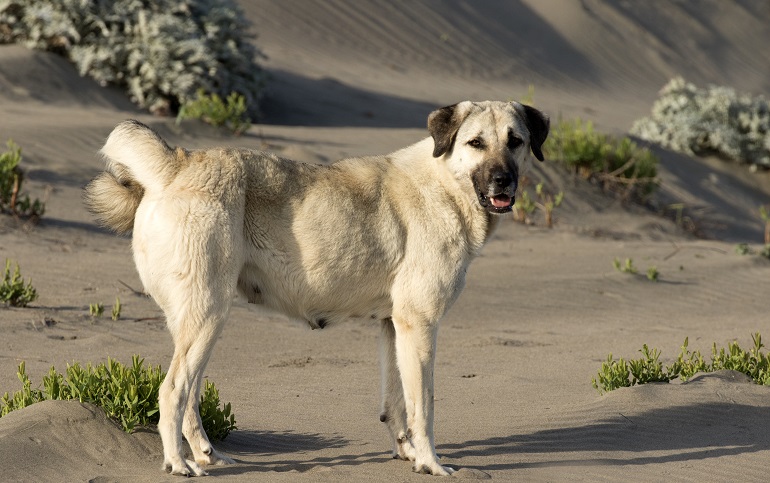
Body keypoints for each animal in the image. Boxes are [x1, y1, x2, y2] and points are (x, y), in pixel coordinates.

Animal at [84, 100, 548, 478]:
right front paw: (432, 463)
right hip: (208, 316)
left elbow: (397, 404)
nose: (503, 181)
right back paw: (178, 464)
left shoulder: (394, 327)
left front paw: (410, 456)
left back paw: (206, 455)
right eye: (475, 142)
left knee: (190, 396)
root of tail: (178, 163)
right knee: (172, 392)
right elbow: (424, 408)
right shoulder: (421, 325)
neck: (446, 182)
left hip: (199, 323)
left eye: (516, 141)